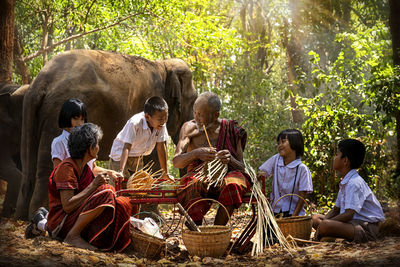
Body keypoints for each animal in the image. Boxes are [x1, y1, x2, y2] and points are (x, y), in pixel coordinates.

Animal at [15, 49, 197, 220]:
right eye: (193, 99)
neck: (162, 65)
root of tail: (40, 82)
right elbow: (155, 154)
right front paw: (154, 216)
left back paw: (21, 216)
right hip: (55, 115)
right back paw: (39, 213)